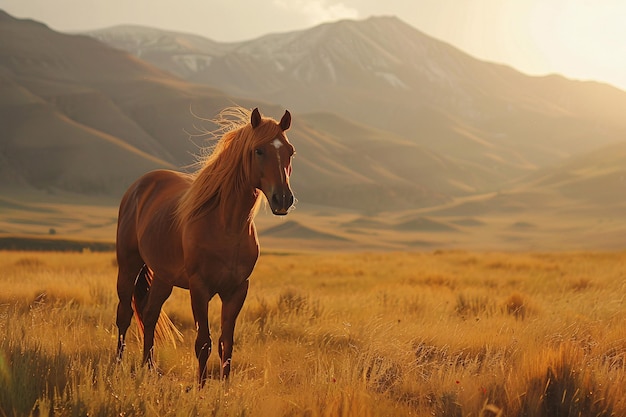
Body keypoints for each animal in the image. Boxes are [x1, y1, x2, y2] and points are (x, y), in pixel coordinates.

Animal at [114, 106, 294, 384]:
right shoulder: (199, 288)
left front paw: (226, 387)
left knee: (150, 314)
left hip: (163, 278)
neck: (226, 226)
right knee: (124, 315)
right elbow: (203, 343)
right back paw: (118, 367)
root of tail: (138, 187)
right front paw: (200, 388)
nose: (283, 199)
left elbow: (226, 343)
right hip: (129, 265)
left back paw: (149, 368)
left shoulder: (237, 290)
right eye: (259, 150)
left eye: (290, 151)